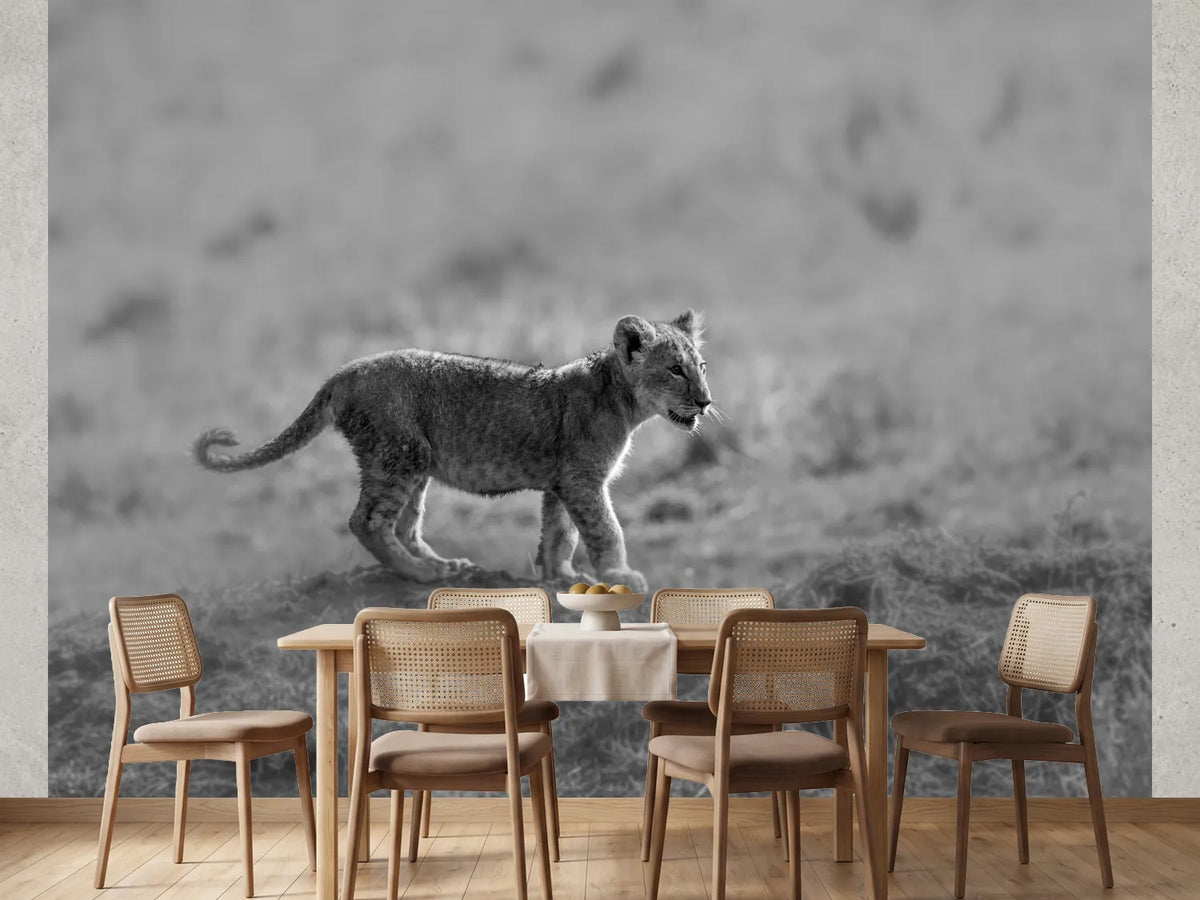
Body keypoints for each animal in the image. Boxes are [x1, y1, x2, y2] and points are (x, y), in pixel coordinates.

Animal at [193, 311, 711, 590]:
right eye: (675, 369)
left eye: (701, 366)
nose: (706, 401)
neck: (624, 401)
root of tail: (343, 372)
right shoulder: (583, 479)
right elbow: (605, 529)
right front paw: (621, 574)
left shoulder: (561, 482)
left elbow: (559, 533)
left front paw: (561, 575)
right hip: (399, 453)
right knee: (367, 521)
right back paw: (420, 574)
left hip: (413, 461)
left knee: (404, 524)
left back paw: (444, 565)